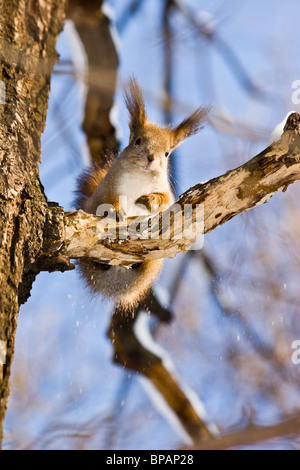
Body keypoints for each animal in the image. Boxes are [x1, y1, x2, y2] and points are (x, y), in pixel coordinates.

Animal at [74, 77, 210, 312]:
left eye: (167, 153)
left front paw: (148, 200)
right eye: (137, 141)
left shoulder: (167, 191)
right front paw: (116, 210)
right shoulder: (108, 189)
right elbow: (107, 202)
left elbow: (165, 202)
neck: (140, 177)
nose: (151, 157)